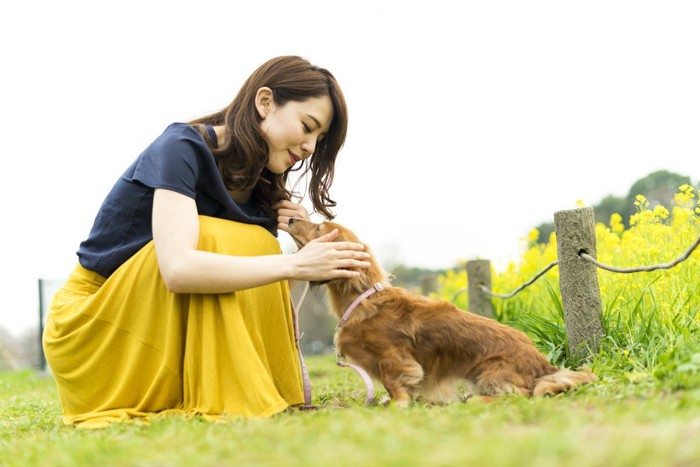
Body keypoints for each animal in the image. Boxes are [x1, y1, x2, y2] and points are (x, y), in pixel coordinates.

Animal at [284, 219, 596, 406]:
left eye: (318, 228)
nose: (288, 218)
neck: (363, 299)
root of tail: (543, 364)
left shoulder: (392, 356)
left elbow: (393, 380)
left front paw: (397, 403)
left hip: (489, 371)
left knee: (521, 394)